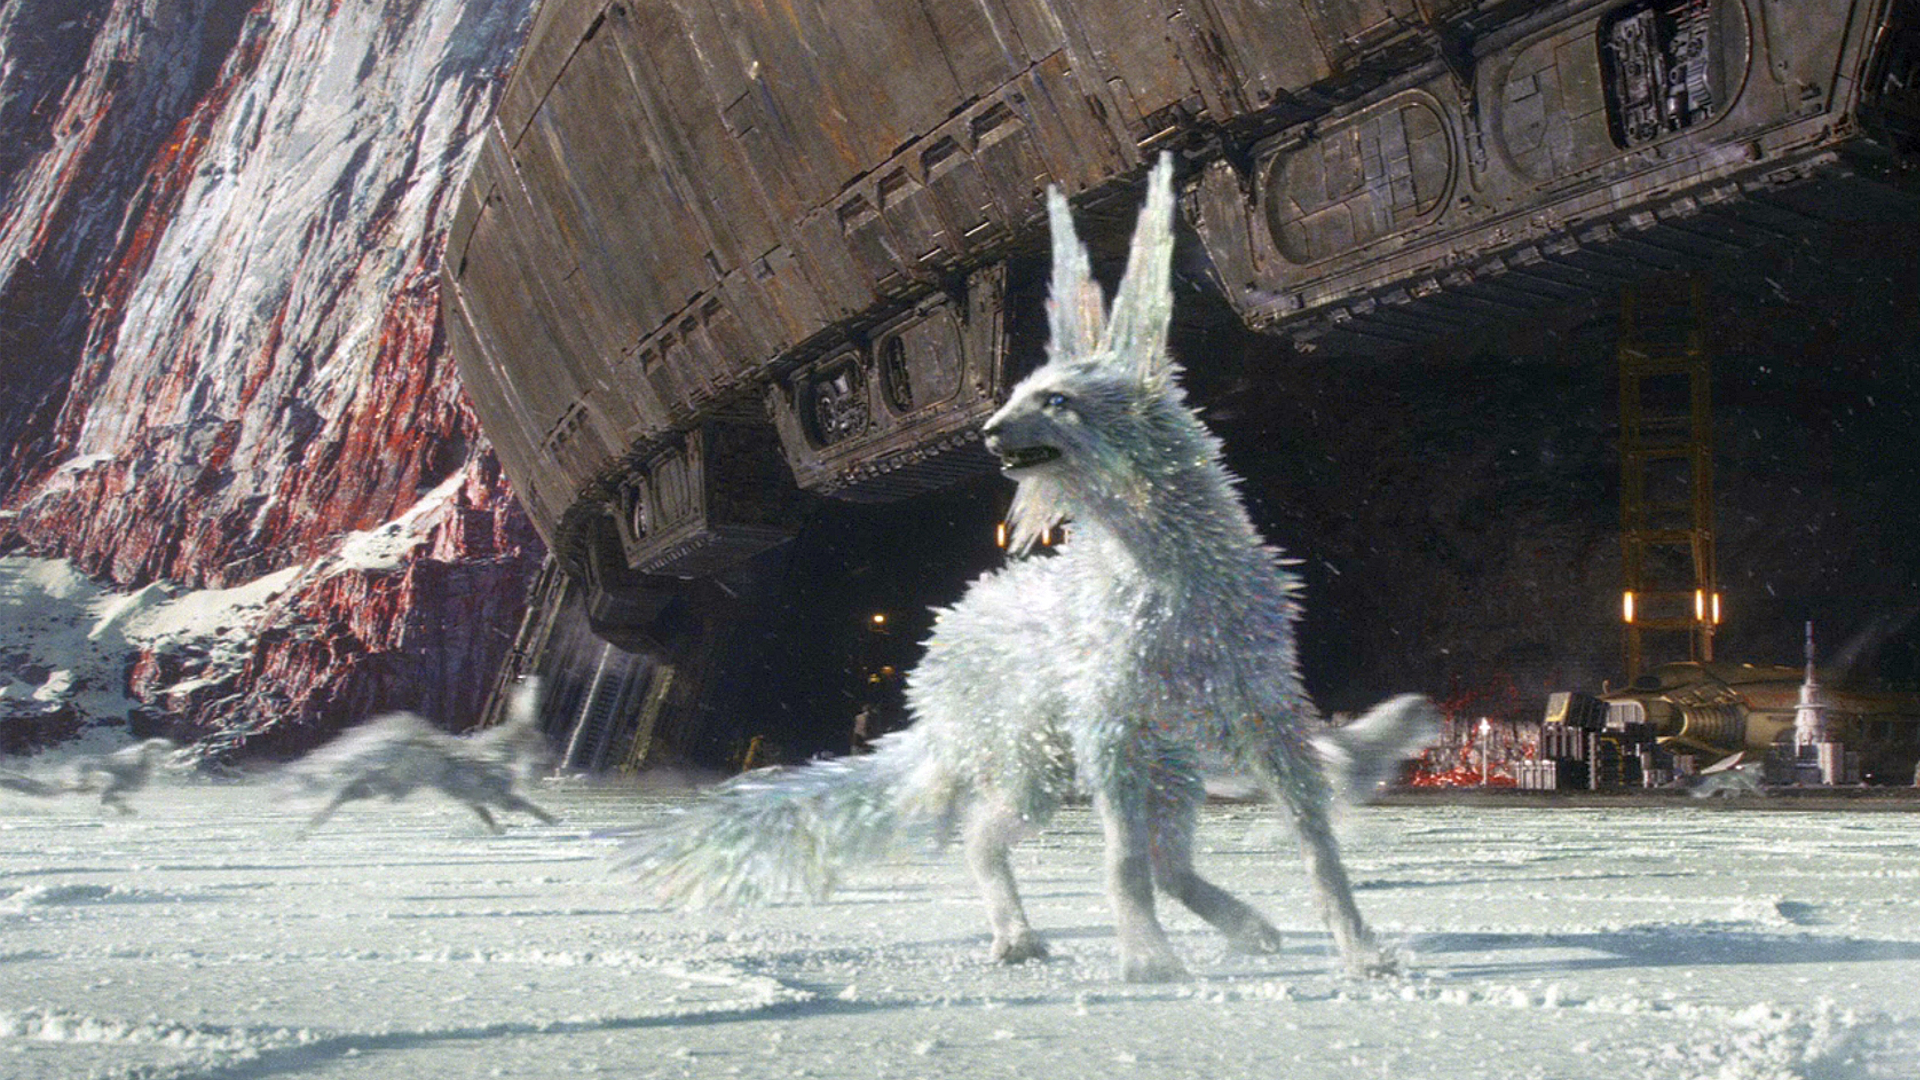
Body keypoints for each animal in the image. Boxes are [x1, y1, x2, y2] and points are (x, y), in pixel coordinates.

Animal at [289, 679, 557, 834]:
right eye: (539, 743)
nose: (551, 762)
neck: (503, 752)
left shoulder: (476, 796)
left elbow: (486, 811)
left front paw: (498, 829)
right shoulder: (496, 792)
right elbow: (518, 804)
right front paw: (551, 819)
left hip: (392, 783)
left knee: (352, 788)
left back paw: (311, 824)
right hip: (393, 783)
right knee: (350, 789)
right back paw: (313, 823)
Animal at [620, 155, 1439, 981]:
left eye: (1057, 400)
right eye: (1014, 393)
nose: (986, 431)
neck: (1168, 573)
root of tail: (942, 647)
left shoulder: (1263, 719)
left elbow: (1317, 848)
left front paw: (1362, 950)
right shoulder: (1110, 733)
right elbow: (1121, 863)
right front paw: (1144, 956)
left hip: (1162, 767)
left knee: (1168, 862)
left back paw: (1248, 928)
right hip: (1037, 763)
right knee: (992, 839)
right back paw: (1022, 938)